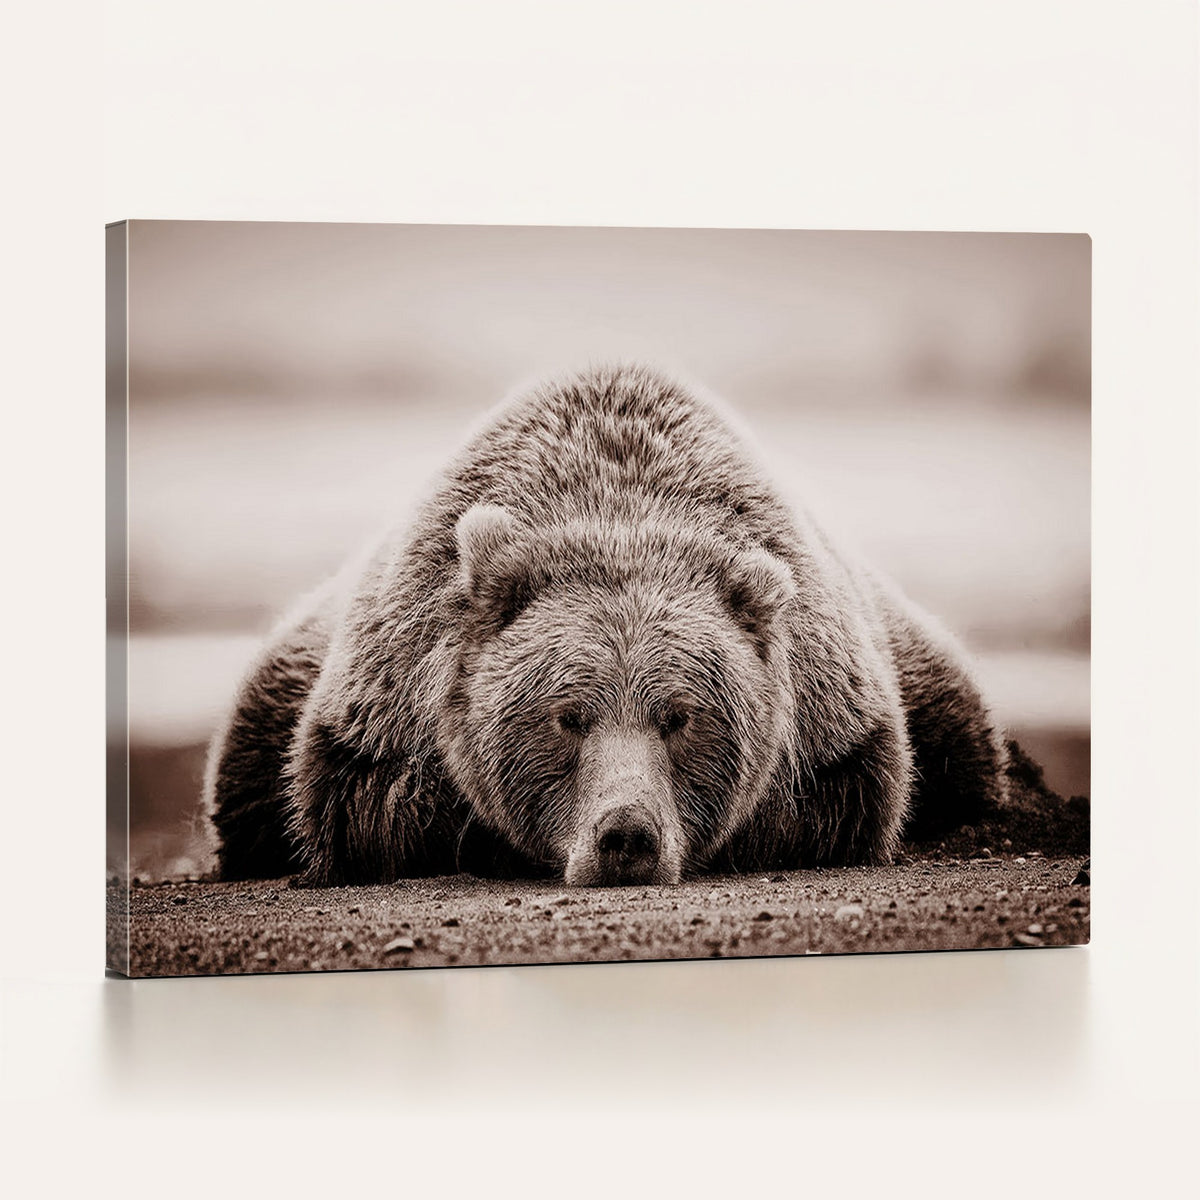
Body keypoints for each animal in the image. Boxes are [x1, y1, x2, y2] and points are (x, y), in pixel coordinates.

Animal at [204, 364, 1008, 887]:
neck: (615, 508)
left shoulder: (832, 709)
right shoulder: (386, 698)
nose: (627, 835)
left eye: (680, 716)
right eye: (567, 716)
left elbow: (845, 799)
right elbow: (366, 806)